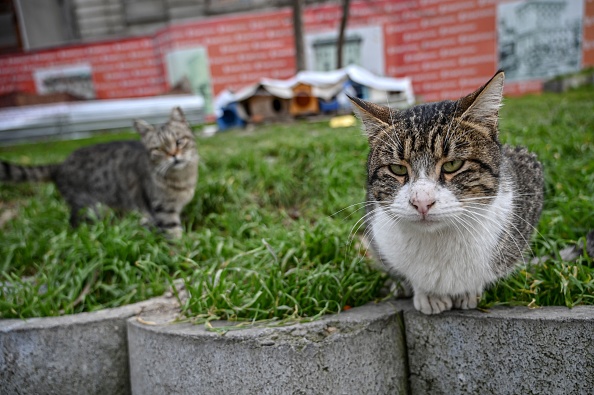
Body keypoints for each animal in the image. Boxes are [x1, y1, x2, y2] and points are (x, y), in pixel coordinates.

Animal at [0, 106, 199, 240]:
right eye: (158, 149)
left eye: (179, 142)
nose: (173, 155)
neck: (183, 179)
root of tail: (60, 164)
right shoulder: (162, 209)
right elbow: (173, 232)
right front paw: (181, 249)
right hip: (90, 206)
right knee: (75, 222)